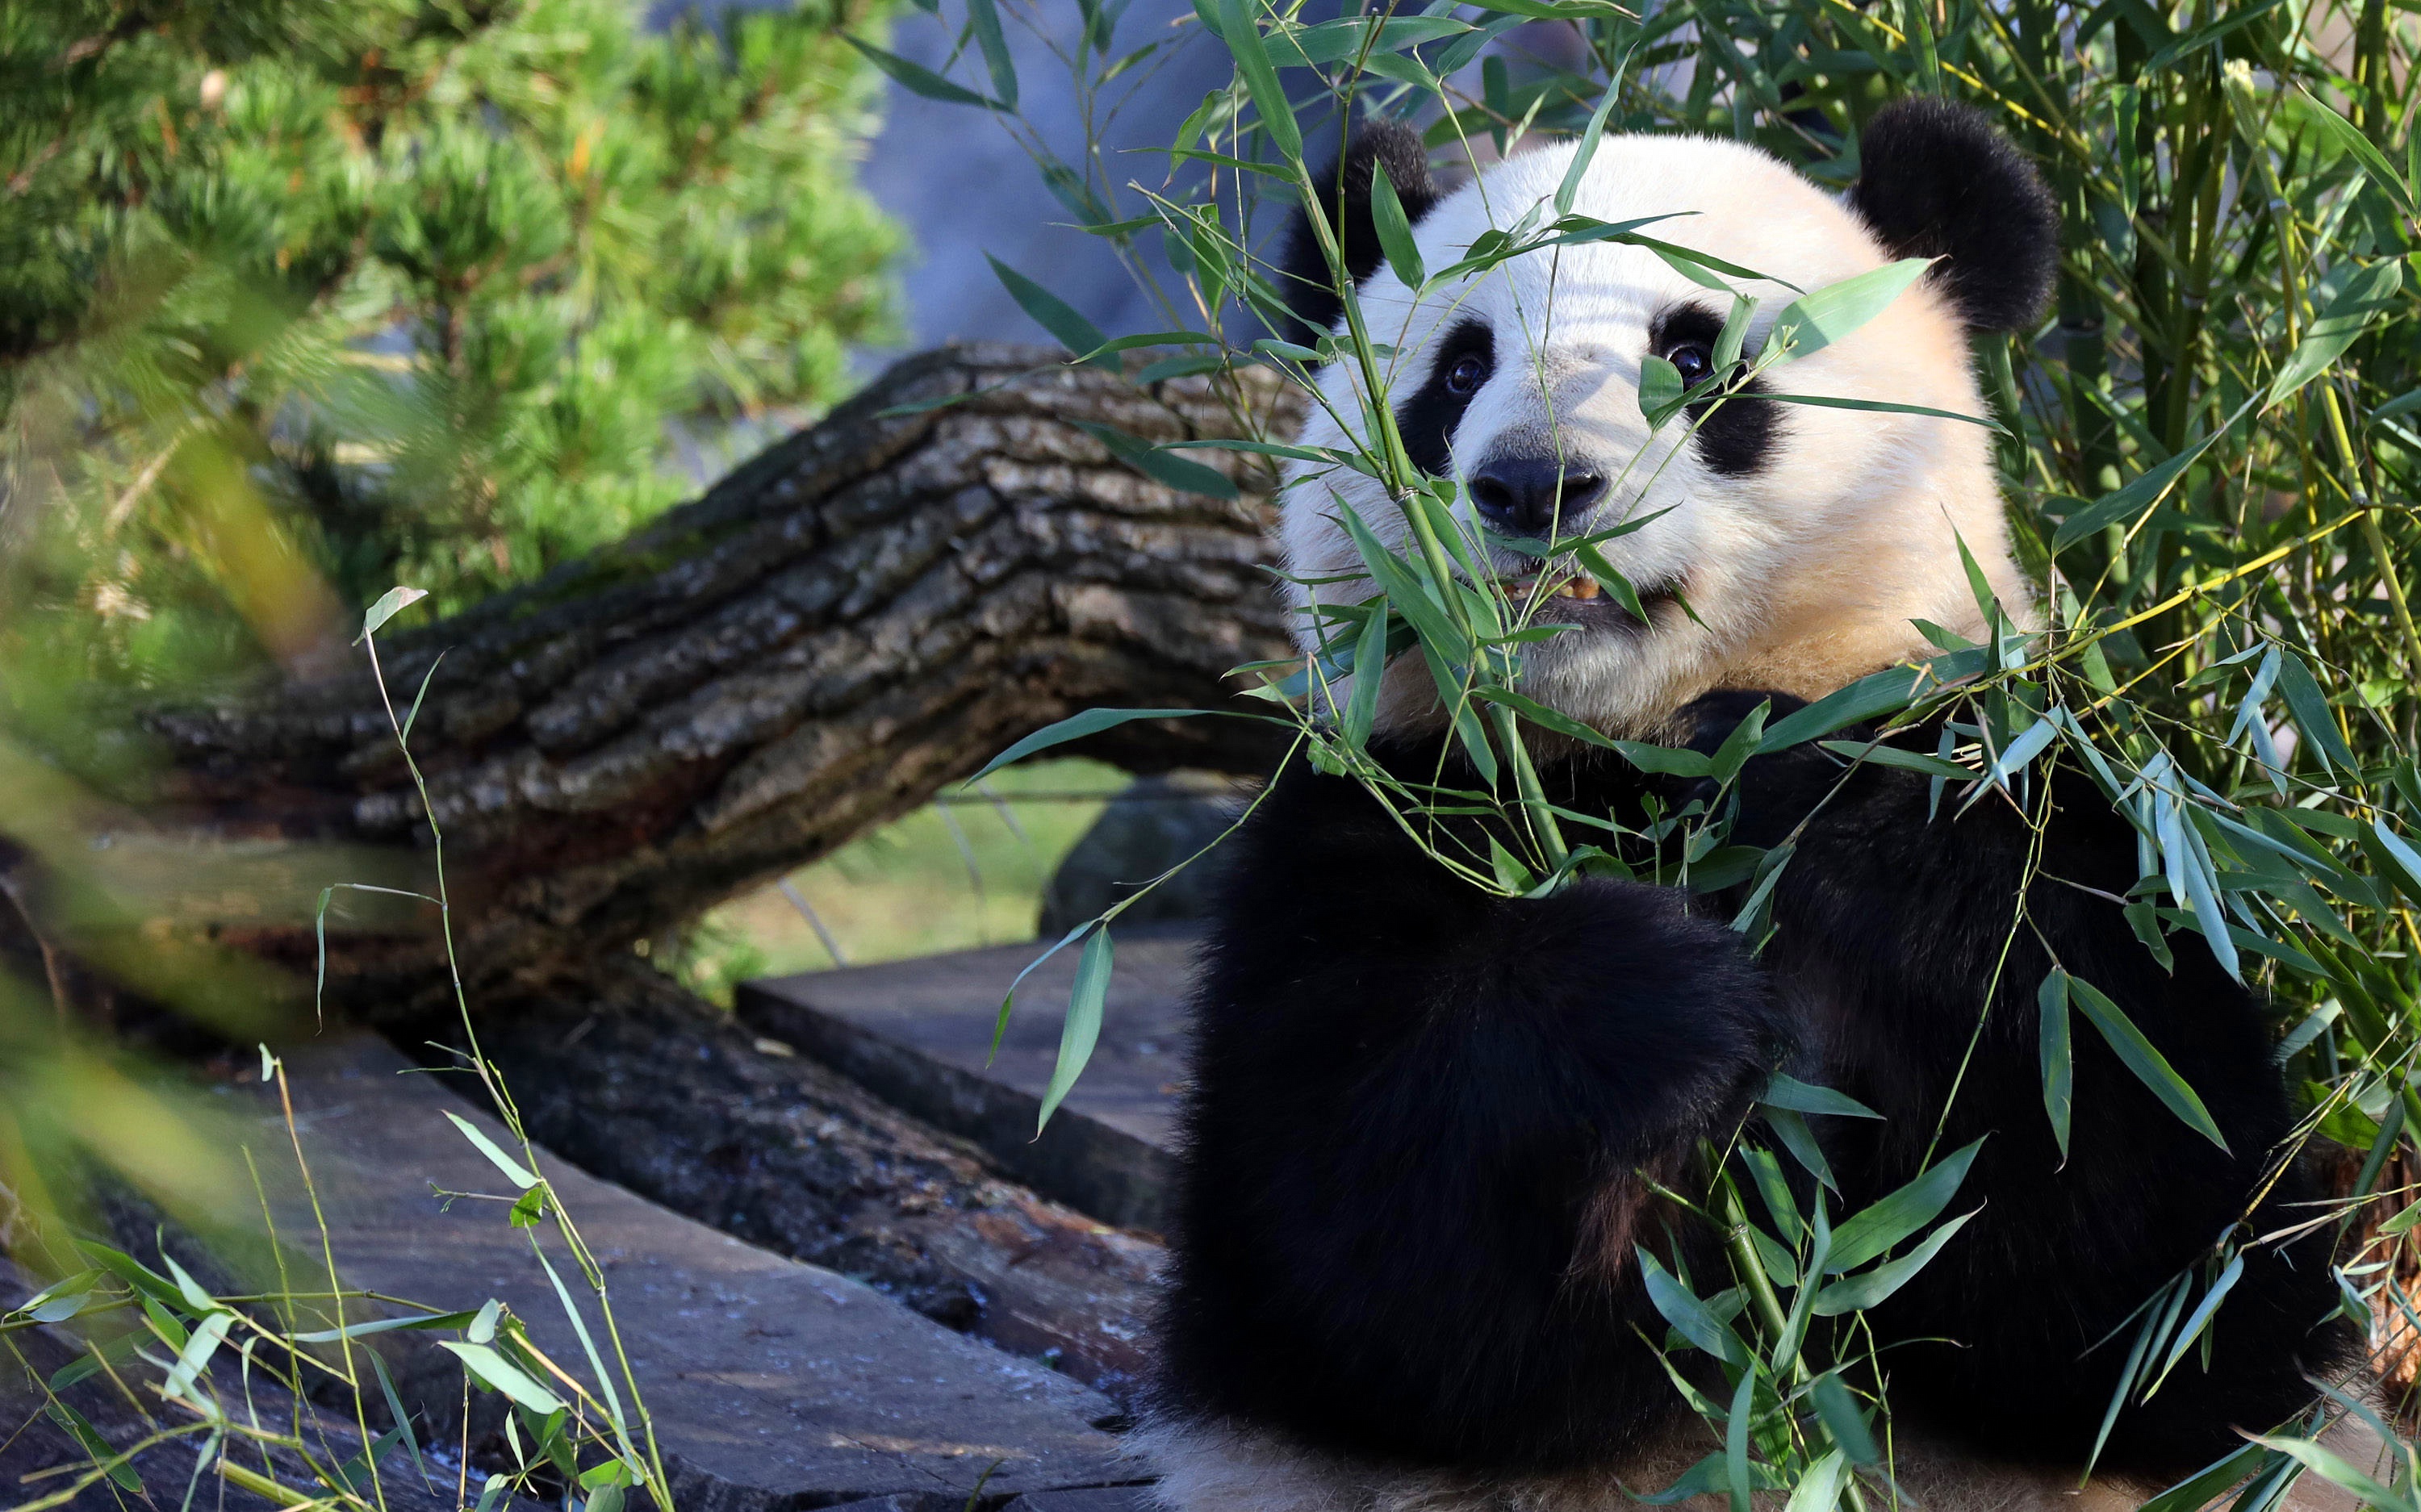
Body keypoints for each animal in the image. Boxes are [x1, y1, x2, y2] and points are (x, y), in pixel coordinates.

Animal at [1138, 103, 2363, 1510]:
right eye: (1454, 374)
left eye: (1694, 355)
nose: (1534, 483)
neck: (1623, 746)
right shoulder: (1380, 810)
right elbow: (1348, 1251)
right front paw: (1649, 993)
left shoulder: (2048, 801)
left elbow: (2166, 1285)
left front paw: (1803, 809)